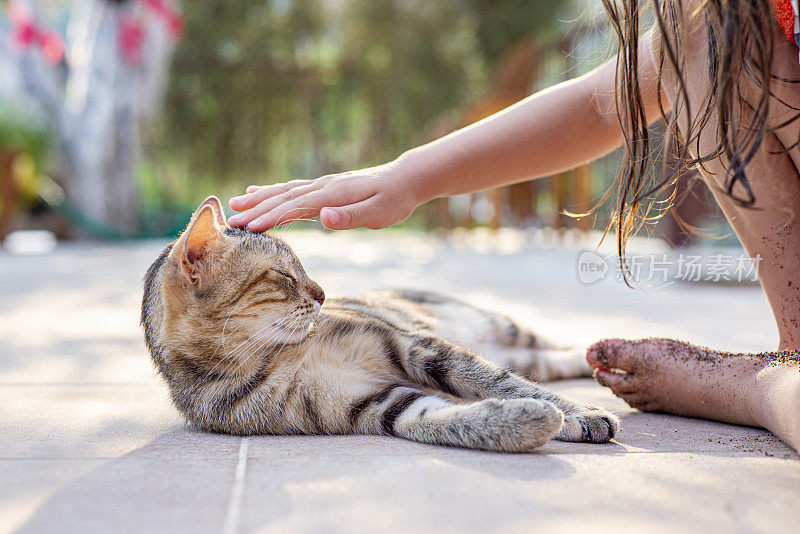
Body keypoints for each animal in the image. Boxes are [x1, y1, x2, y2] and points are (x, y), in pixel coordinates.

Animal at [142, 199, 620, 454]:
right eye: (283, 275)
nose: (323, 294)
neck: (275, 357)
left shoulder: (413, 346)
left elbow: (501, 383)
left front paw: (578, 413)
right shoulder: (374, 405)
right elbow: (440, 419)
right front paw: (527, 422)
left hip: (501, 327)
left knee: (537, 356)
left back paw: (605, 356)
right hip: (514, 350)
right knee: (540, 363)